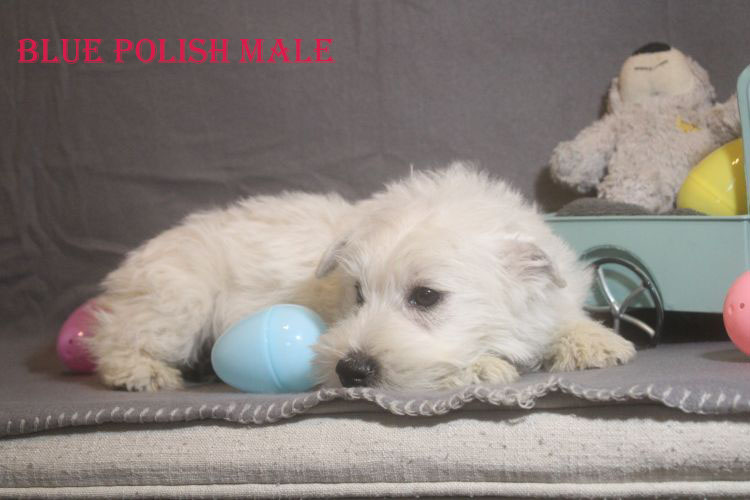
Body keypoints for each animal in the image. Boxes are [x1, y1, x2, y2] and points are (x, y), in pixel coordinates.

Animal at [87, 164, 635, 391]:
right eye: (357, 292)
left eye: (426, 296)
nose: (351, 372)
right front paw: (481, 366)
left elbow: (563, 318)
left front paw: (598, 342)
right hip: (178, 301)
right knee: (114, 340)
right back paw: (145, 374)